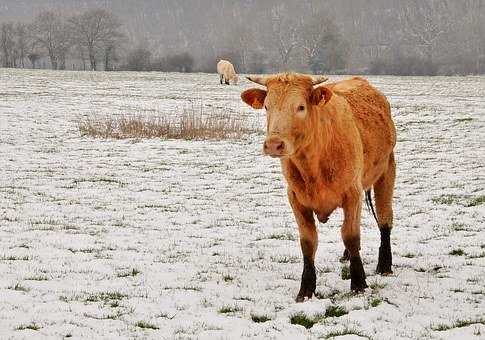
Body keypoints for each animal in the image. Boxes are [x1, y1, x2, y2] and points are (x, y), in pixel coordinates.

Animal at [240, 72, 396, 300]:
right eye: (267, 106)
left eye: (301, 107)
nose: (274, 144)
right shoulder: (296, 199)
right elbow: (308, 242)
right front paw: (306, 289)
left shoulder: (353, 194)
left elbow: (351, 235)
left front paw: (359, 283)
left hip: (386, 171)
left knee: (385, 220)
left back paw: (385, 265)